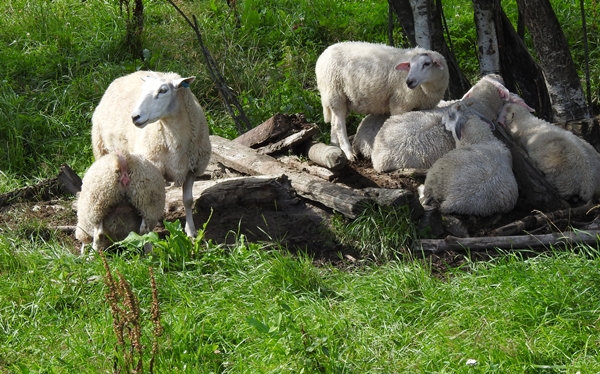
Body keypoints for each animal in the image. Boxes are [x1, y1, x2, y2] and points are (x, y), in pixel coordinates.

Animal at [89, 71, 211, 237]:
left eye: (163, 90)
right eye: (143, 90)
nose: (135, 117)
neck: (175, 138)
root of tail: (126, 75)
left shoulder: (192, 170)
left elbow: (188, 201)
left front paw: (191, 231)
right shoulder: (154, 170)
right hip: (102, 150)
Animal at [314, 41, 450, 161]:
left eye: (427, 63)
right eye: (409, 65)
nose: (409, 81)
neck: (427, 88)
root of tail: (324, 53)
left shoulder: (422, 106)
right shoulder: (400, 103)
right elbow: (396, 123)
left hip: (341, 99)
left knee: (334, 122)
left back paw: (335, 147)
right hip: (335, 93)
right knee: (339, 124)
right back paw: (348, 152)